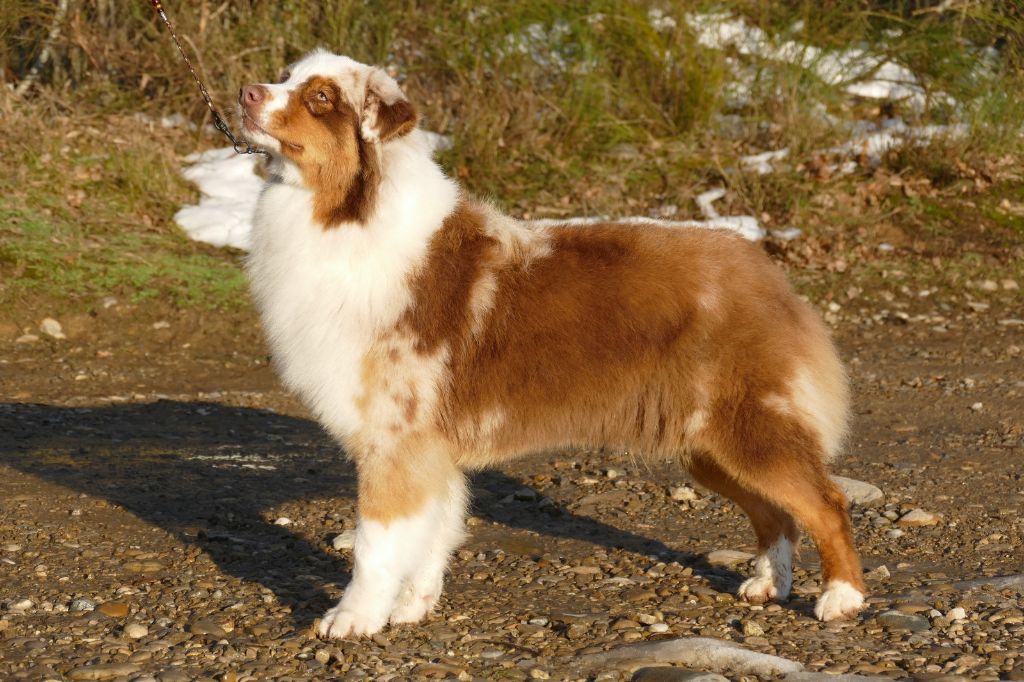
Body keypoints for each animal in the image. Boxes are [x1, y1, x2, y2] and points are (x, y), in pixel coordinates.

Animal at [238, 49, 865, 639]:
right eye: (285, 74)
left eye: (320, 97)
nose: (246, 93)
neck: (345, 216)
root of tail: (766, 270)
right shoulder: (429, 448)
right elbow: (431, 536)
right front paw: (413, 607)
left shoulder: (396, 437)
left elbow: (377, 543)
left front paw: (352, 619)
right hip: (706, 443)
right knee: (775, 511)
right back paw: (769, 583)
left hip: (747, 425)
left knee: (825, 502)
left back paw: (841, 598)